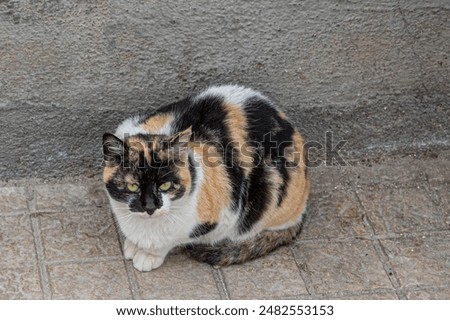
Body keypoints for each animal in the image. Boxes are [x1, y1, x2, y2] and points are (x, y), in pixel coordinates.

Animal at [102, 84, 310, 270]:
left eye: (165, 185)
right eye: (133, 187)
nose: (151, 207)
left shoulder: (224, 215)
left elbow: (172, 240)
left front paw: (149, 255)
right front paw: (134, 244)